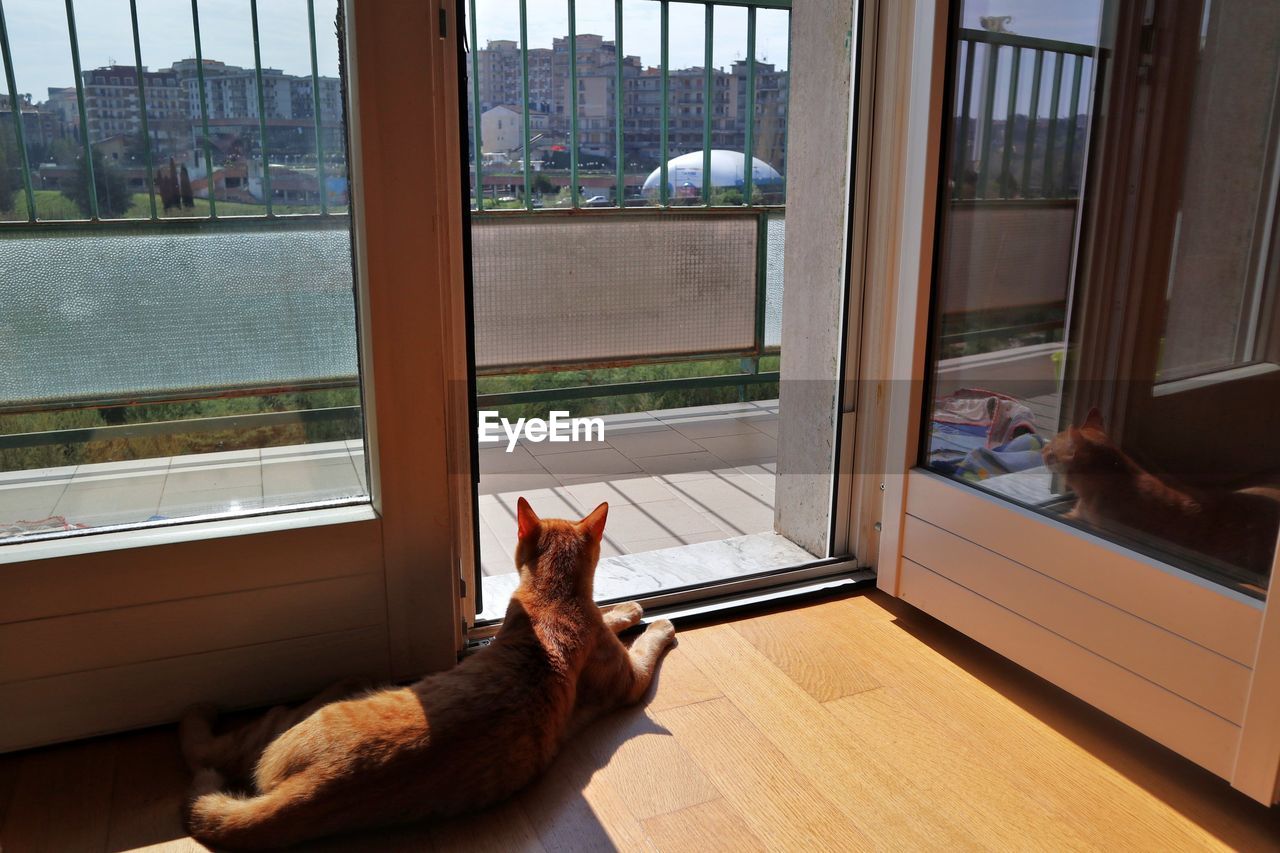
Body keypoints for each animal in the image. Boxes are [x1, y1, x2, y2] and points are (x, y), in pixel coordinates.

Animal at [185, 494, 680, 845]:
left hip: (290, 723)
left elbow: (630, 633)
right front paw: (644, 615)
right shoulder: (629, 677)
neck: (555, 600)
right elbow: (629, 632)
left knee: (223, 744)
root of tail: (317, 785)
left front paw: (642, 615)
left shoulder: (629, 679)